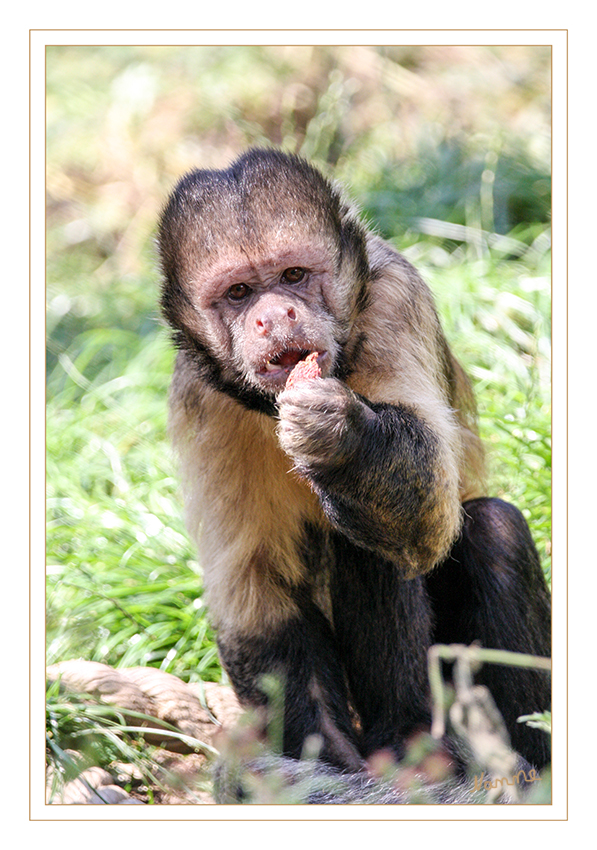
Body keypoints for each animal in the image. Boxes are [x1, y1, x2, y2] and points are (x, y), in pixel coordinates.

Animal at [156, 147, 552, 780]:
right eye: (240, 292)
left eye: (293, 276)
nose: (275, 315)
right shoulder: (197, 393)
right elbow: (255, 590)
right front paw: (322, 757)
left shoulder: (395, 301)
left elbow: (431, 519)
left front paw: (338, 434)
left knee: (468, 532)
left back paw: (434, 744)